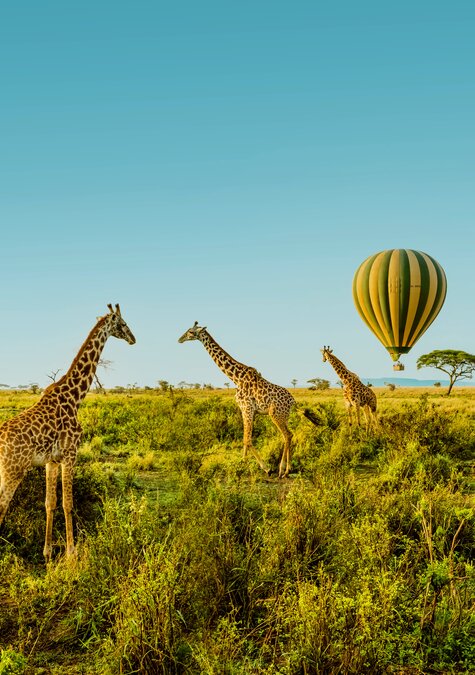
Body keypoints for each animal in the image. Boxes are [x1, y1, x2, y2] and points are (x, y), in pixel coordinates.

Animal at [0, 304, 135, 562]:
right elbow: (68, 503)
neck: (75, 397)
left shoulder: (51, 460)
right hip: (12, 472)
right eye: (123, 324)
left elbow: (50, 502)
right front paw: (72, 552)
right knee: (2, 508)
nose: (133, 339)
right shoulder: (71, 454)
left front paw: (47, 552)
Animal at [179, 322, 316, 478]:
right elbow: (245, 439)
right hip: (284, 416)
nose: (180, 339)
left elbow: (247, 439)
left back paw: (282, 470)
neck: (235, 378)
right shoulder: (248, 410)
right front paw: (242, 463)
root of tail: (293, 401)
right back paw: (288, 469)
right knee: (289, 435)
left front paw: (265, 468)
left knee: (287, 435)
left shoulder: (247, 408)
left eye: (190, 332)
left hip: (275, 414)